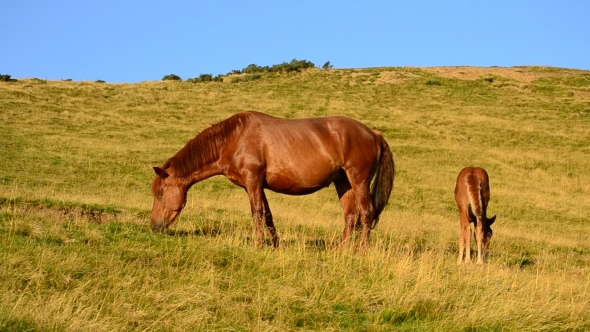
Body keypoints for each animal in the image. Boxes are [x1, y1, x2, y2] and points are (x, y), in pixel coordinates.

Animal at [150, 110, 396, 248]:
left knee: (366, 213)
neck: (233, 138)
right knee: (350, 216)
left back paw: (362, 250)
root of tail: (374, 134)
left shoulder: (253, 180)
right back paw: (340, 249)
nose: (154, 226)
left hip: (359, 180)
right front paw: (275, 244)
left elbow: (256, 212)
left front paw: (259, 244)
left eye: (160, 193)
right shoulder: (255, 185)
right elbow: (267, 214)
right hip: (343, 182)